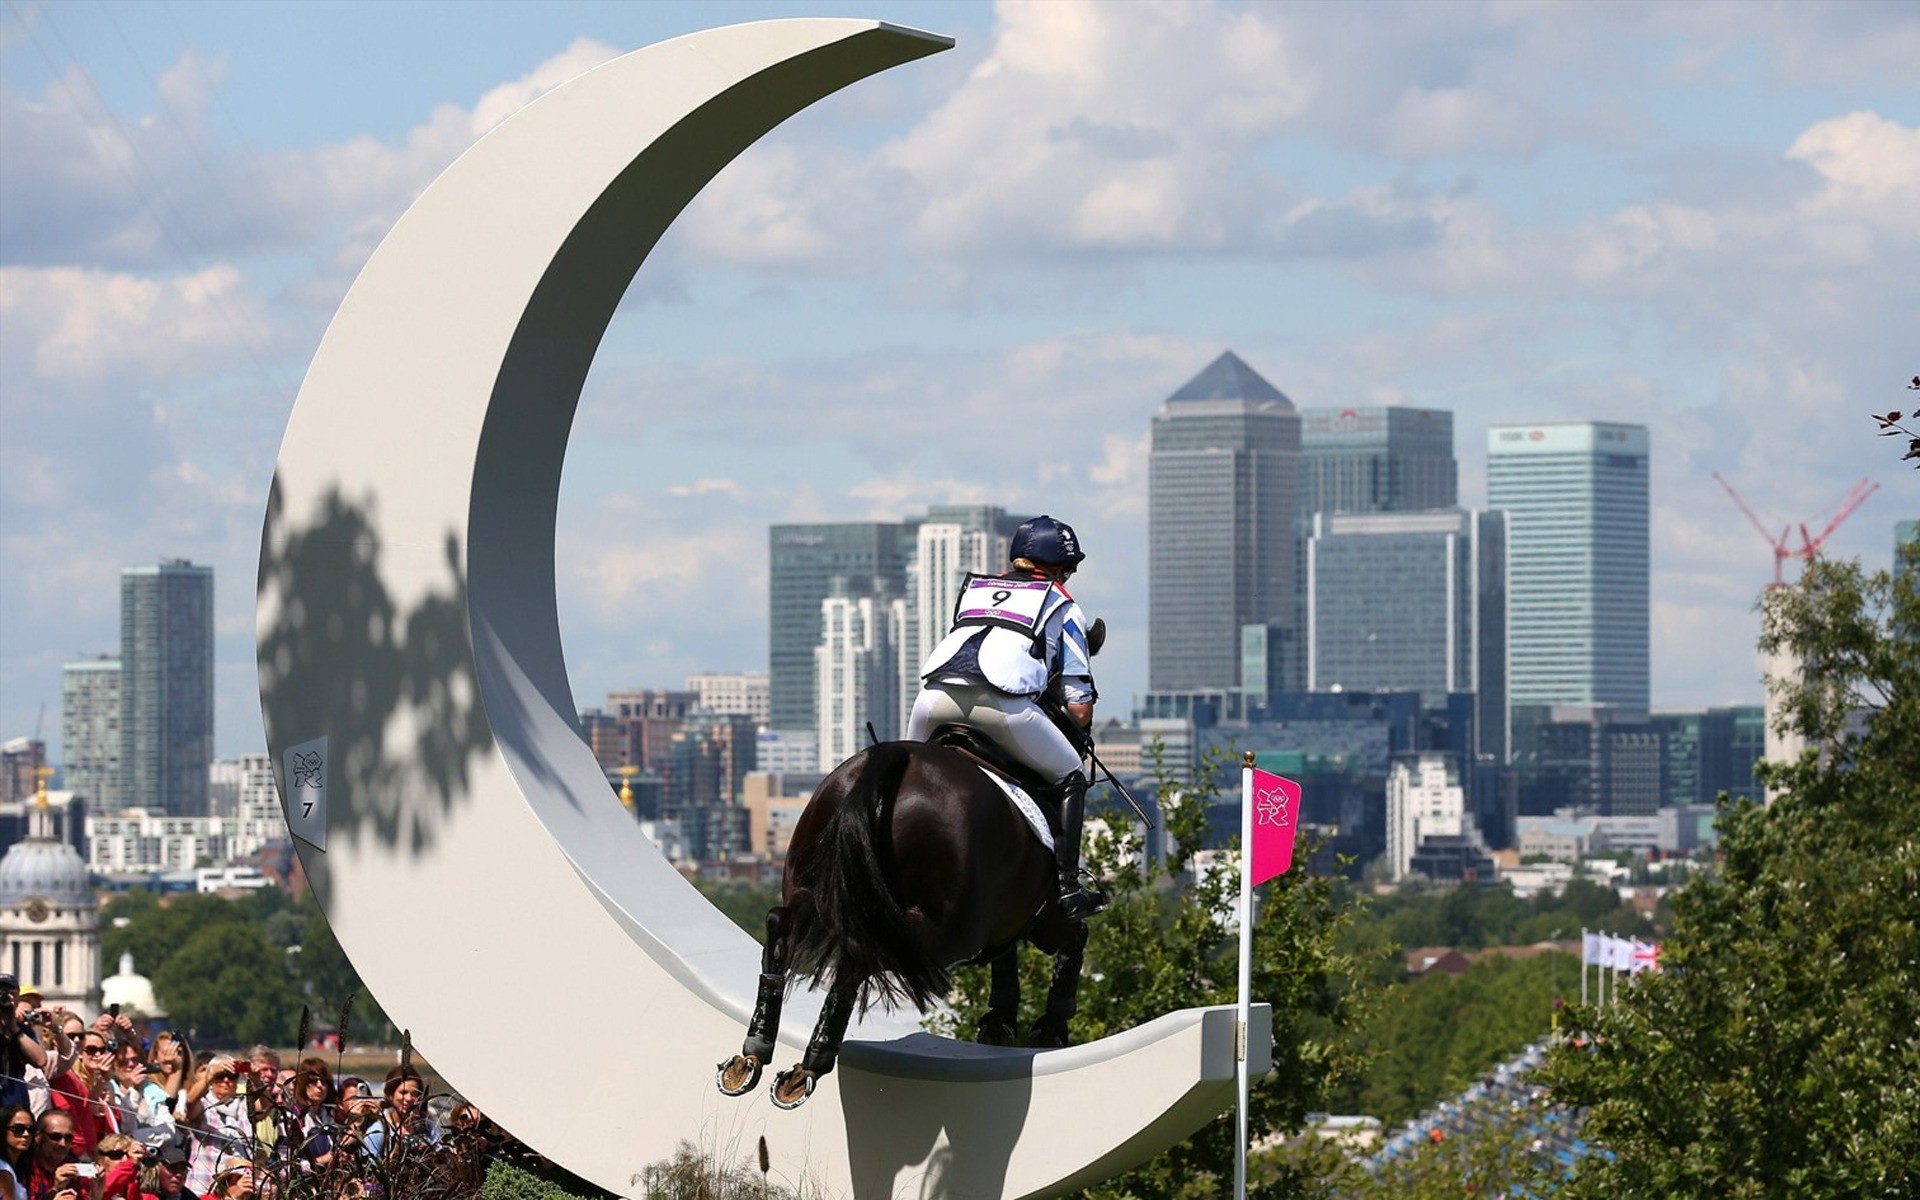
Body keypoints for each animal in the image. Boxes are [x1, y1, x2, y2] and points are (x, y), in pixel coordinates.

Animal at [714, 733, 1090, 1105]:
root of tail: (893, 758)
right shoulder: (1044, 917)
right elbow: (1076, 935)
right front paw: (1050, 1026)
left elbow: (1011, 954)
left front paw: (1000, 1024)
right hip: (944, 932)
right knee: (861, 955)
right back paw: (812, 1062)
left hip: (815, 882)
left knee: (782, 925)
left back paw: (755, 1051)